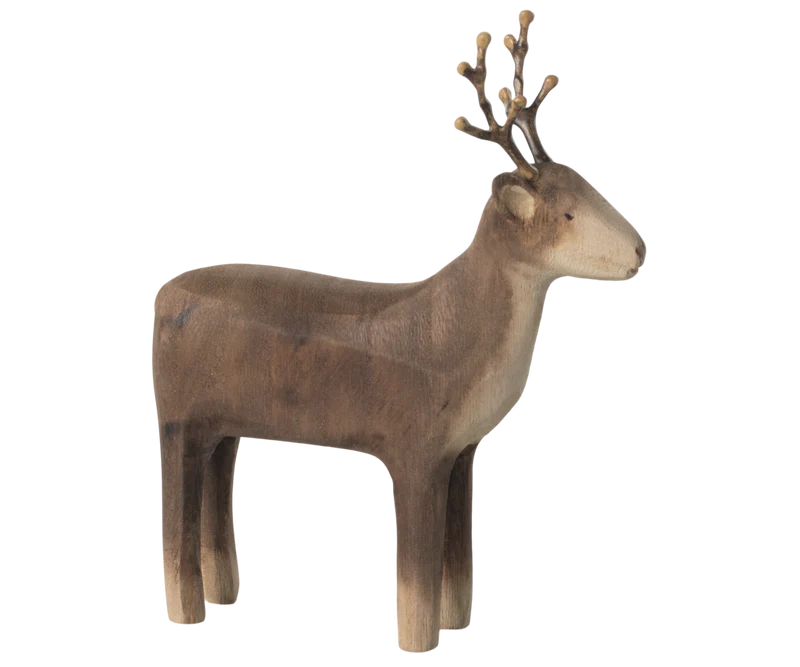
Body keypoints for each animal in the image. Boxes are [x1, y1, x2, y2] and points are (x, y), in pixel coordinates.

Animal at [151, 9, 646, 655]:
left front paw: (456, 627)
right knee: (176, 518)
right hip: (178, 418)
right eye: (566, 213)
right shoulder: (414, 444)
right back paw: (188, 615)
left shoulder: (460, 450)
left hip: (223, 424)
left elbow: (457, 562)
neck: (458, 339)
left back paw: (228, 600)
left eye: (590, 188)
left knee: (216, 481)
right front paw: (416, 642)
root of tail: (162, 298)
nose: (639, 250)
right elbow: (415, 576)